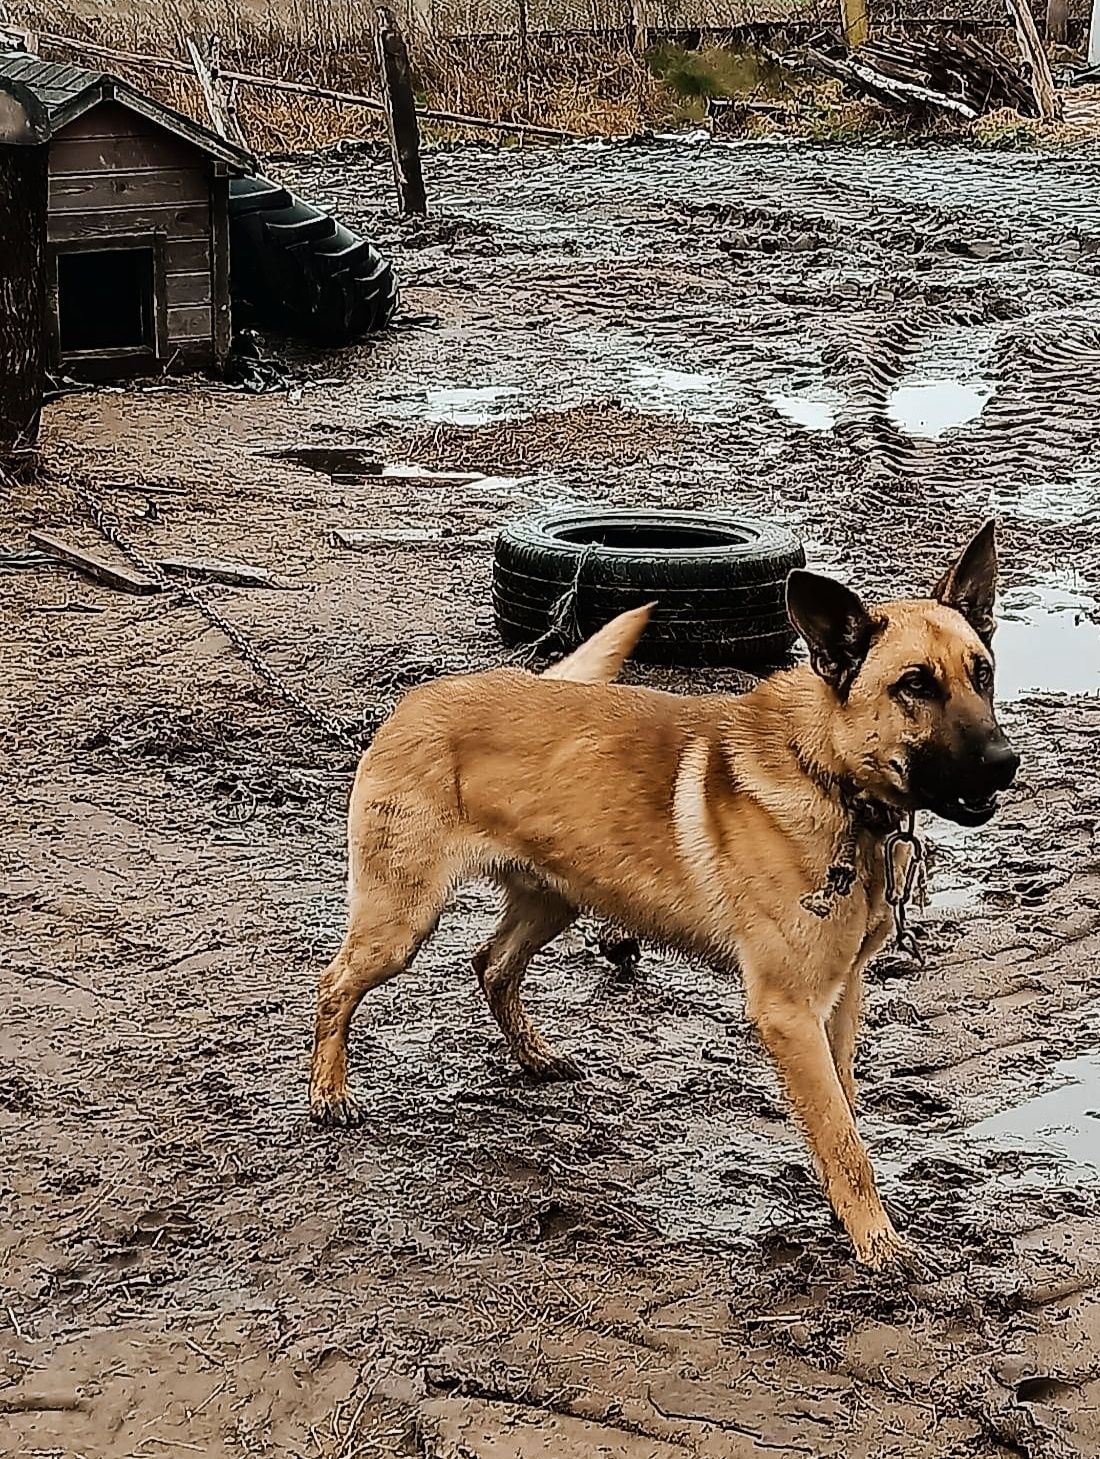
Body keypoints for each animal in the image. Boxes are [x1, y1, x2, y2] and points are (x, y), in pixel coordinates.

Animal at [306, 522, 1009, 1266]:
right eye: (915, 685)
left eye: (982, 673)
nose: (1006, 764)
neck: (828, 773)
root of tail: (419, 697)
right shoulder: (790, 1012)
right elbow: (843, 1139)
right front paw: (879, 1243)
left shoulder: (841, 996)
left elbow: (841, 1113)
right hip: (402, 921)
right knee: (335, 984)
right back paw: (329, 1091)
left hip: (556, 898)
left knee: (492, 965)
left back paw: (533, 1055)